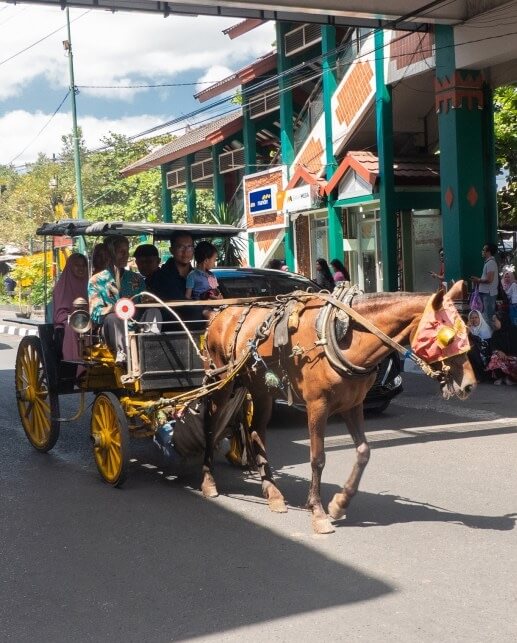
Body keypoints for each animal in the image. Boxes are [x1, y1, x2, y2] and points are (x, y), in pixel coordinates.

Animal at [200, 280, 474, 532]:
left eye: (467, 331)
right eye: (447, 336)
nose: (470, 385)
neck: (343, 335)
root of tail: (219, 313)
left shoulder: (353, 404)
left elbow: (363, 451)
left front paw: (339, 503)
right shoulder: (317, 406)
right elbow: (317, 458)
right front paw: (318, 511)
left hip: (261, 390)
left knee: (257, 432)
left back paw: (273, 493)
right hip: (221, 382)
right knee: (212, 424)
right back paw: (209, 480)